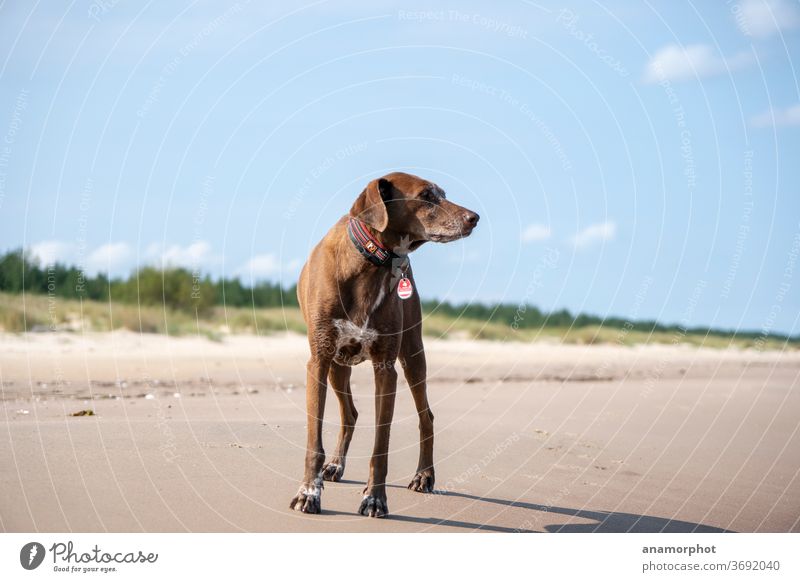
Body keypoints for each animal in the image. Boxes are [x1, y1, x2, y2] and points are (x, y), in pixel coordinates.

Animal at [294, 171, 482, 516]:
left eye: (443, 193)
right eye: (426, 196)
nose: (474, 218)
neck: (370, 263)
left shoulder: (386, 368)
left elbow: (381, 444)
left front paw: (375, 498)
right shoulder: (319, 361)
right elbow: (314, 442)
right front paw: (309, 493)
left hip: (413, 355)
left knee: (426, 417)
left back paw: (424, 476)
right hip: (337, 367)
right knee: (350, 414)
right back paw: (336, 465)